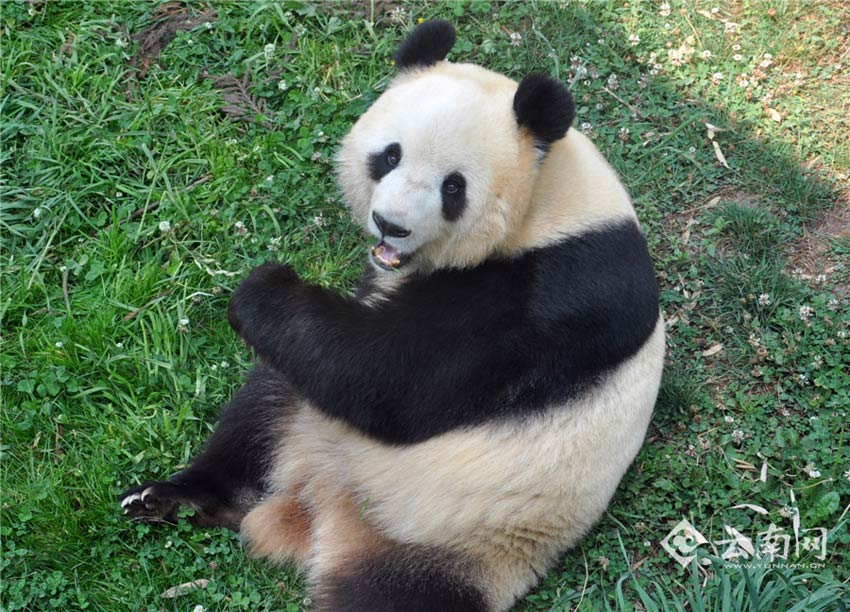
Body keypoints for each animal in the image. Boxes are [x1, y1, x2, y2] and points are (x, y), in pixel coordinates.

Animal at [119, 20, 664, 612]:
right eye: (390, 156)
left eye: (454, 186)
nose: (390, 225)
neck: (548, 203)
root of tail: (317, 509)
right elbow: (343, 351)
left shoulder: (553, 292)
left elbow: (396, 381)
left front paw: (263, 288)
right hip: (306, 419)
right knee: (260, 410)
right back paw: (177, 498)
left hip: (459, 538)